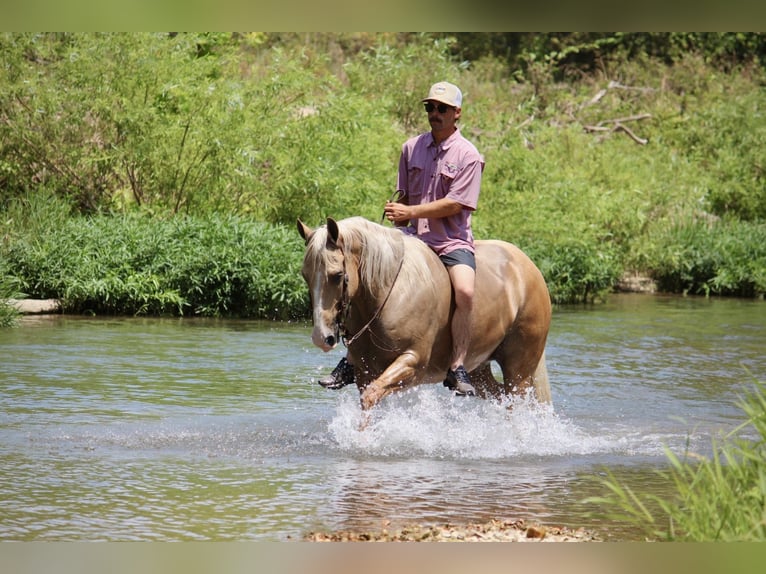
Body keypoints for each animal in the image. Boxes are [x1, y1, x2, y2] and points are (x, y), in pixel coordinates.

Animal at [297, 216, 552, 412]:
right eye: (305, 275)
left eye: (337, 275)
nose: (321, 337)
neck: (389, 292)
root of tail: (529, 266)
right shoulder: (364, 370)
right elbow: (369, 400)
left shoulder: (413, 362)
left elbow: (370, 397)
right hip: (480, 370)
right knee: (500, 396)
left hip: (519, 370)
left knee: (517, 403)